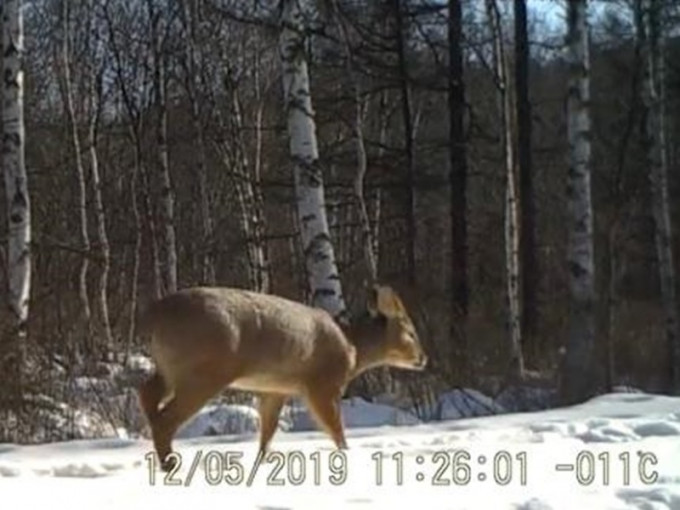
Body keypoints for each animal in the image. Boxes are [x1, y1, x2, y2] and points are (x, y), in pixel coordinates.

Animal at [135, 282, 428, 470]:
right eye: (412, 333)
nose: (424, 358)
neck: (352, 348)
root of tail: (155, 312)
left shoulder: (275, 389)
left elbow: (268, 429)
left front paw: (263, 462)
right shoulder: (322, 383)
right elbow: (335, 427)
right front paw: (346, 457)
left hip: (172, 367)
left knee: (147, 391)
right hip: (204, 370)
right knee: (165, 417)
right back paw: (171, 465)